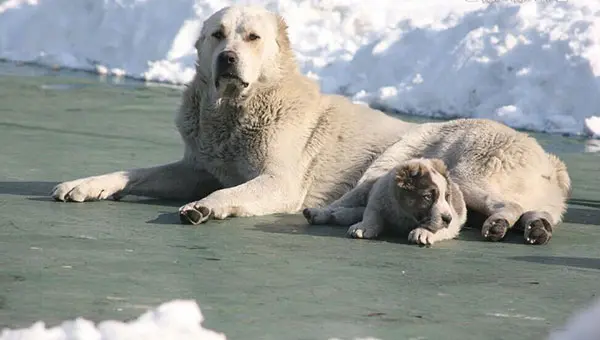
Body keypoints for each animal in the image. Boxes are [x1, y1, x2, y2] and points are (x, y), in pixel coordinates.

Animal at [304, 158, 468, 246]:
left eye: (447, 196)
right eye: (427, 197)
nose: (447, 218)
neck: (404, 214)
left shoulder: (453, 223)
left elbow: (438, 228)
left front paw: (424, 232)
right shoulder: (378, 197)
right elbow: (371, 215)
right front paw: (364, 227)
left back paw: (339, 214)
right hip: (361, 190)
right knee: (338, 204)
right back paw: (318, 213)